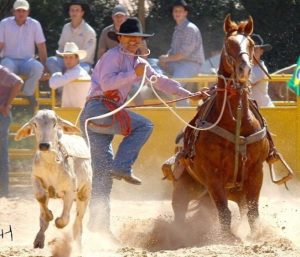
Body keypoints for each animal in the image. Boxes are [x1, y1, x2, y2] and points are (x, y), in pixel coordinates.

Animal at [15, 108, 92, 248]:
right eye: (35, 124)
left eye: (55, 123)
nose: (44, 145)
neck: (51, 163)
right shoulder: (35, 178)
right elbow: (41, 198)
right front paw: (49, 215)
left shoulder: (70, 191)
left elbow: (64, 219)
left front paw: (57, 221)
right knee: (43, 218)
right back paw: (39, 239)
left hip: (85, 193)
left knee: (78, 222)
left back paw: (78, 244)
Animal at [173, 15, 270, 237]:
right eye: (228, 45)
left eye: (251, 44)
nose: (244, 69)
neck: (237, 122)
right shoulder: (213, 176)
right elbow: (224, 213)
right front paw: (228, 238)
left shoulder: (256, 172)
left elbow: (253, 213)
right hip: (184, 187)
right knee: (180, 213)